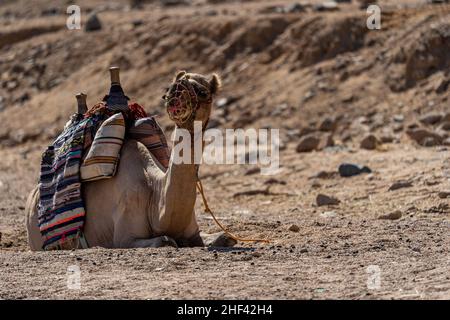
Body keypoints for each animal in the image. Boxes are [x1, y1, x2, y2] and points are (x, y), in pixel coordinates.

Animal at [25, 71, 234, 251]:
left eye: (203, 91)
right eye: (167, 91)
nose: (176, 94)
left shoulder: (192, 233)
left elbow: (222, 237)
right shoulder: (124, 237)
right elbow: (166, 241)